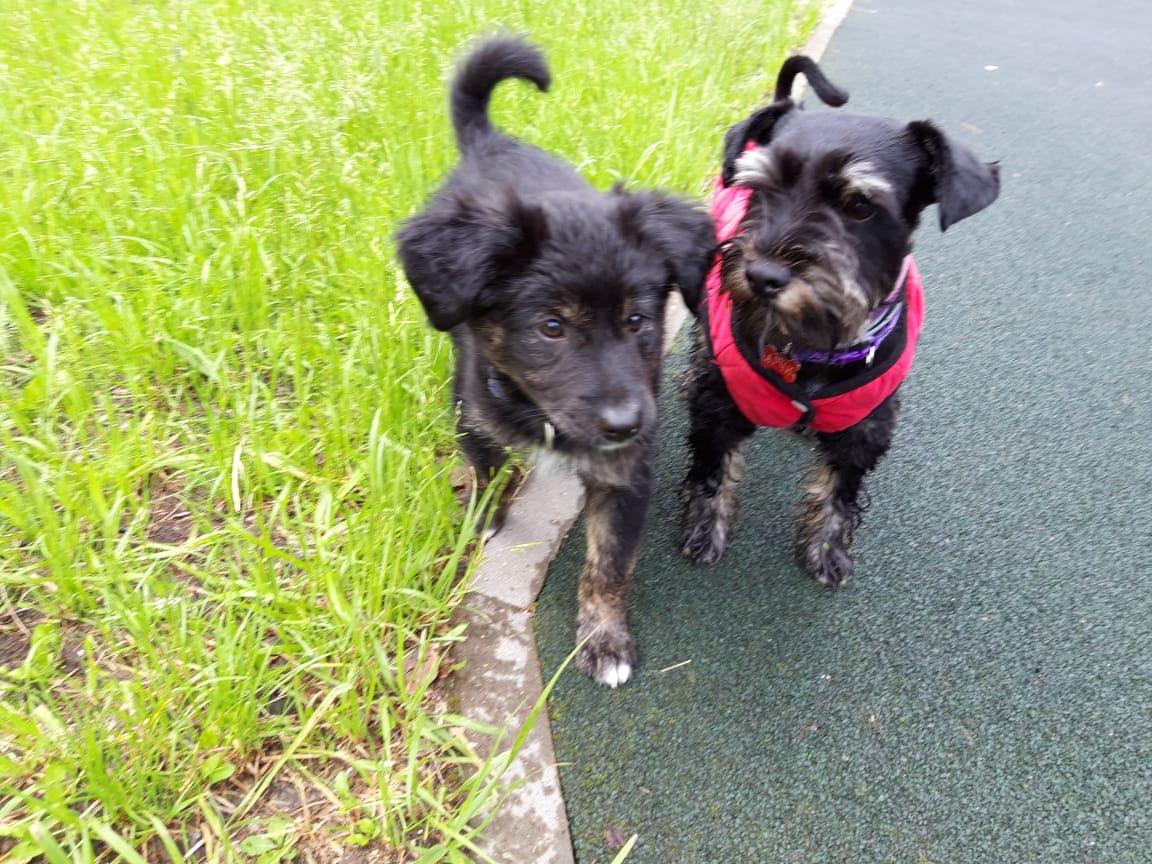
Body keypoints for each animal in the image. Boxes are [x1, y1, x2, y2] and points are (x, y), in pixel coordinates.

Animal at [395, 36, 716, 687]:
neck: (537, 413)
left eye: (638, 321)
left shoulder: (625, 476)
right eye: (551, 328)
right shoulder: (472, 414)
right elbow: (488, 471)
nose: (625, 424)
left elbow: (607, 566)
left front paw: (603, 639)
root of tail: (493, 141)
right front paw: (485, 516)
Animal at [679, 56, 1000, 586]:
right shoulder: (718, 409)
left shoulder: (866, 430)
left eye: (859, 204)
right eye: (757, 189)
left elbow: (839, 490)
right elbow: (712, 470)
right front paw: (706, 529)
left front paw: (827, 548)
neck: (812, 344)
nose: (762, 275)